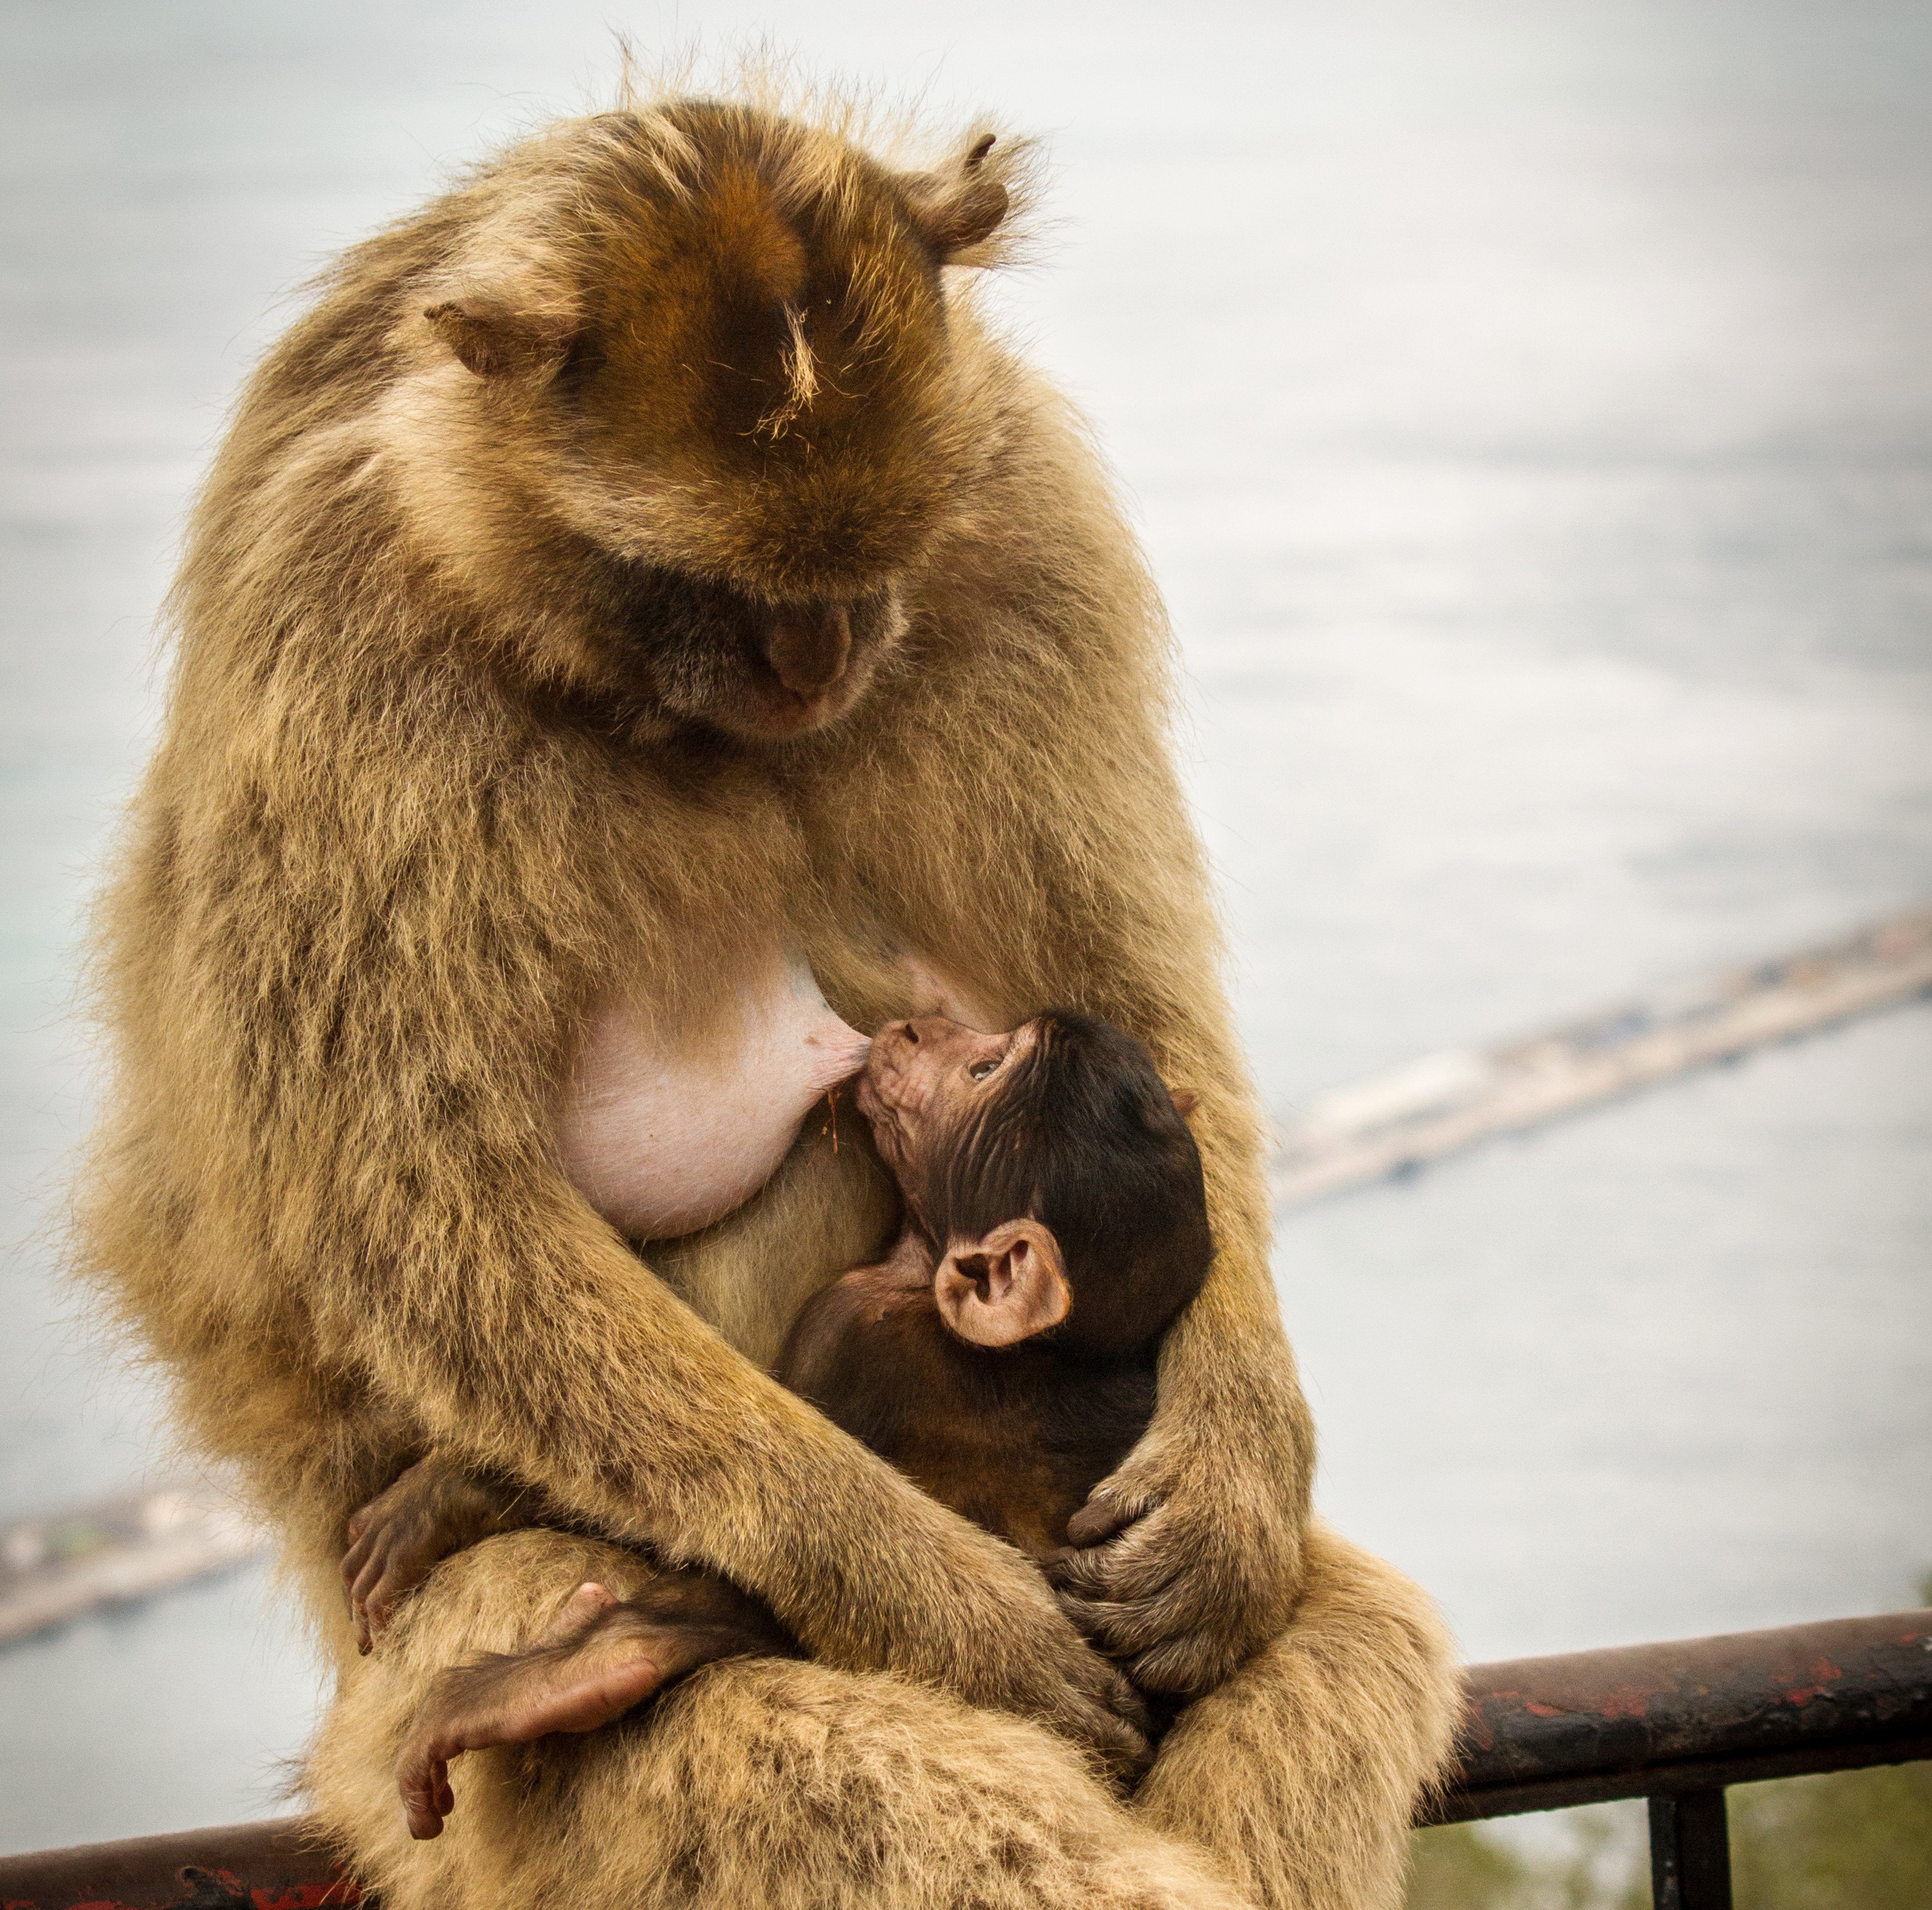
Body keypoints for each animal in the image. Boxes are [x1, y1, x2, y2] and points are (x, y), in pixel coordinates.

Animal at [79, 77, 1459, 1910]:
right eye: (714, 582)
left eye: (867, 555)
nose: (817, 660)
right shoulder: (345, 629)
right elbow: (411, 1201)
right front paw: (930, 1604)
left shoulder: (1017, 521)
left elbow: (1125, 981)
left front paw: (1232, 1477)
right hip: (416, 1680)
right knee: (733, 1724)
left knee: (1329, 1638)